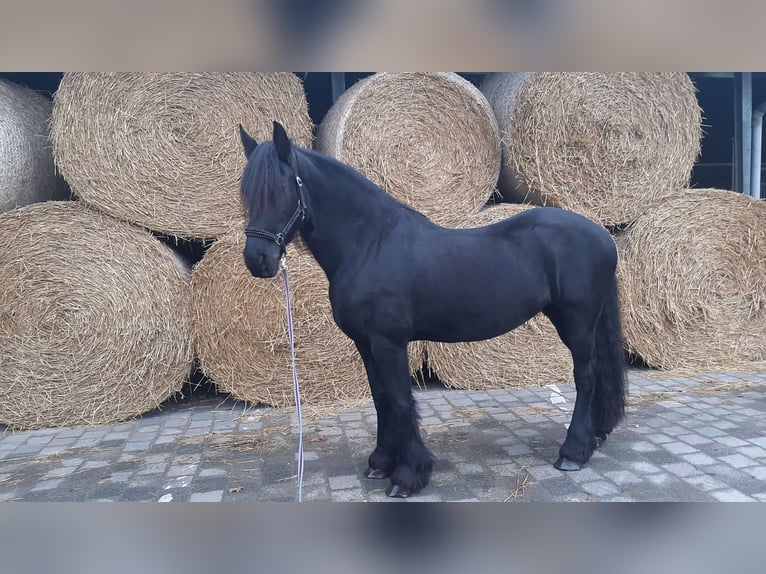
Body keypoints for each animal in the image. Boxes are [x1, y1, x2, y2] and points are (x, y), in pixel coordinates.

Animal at [240, 122, 632, 500]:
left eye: (280, 190)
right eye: (248, 195)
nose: (257, 260)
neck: (369, 244)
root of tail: (602, 235)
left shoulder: (388, 343)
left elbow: (400, 401)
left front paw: (408, 475)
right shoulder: (365, 344)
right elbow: (381, 399)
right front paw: (381, 462)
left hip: (578, 323)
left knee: (586, 377)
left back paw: (573, 452)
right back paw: (595, 436)